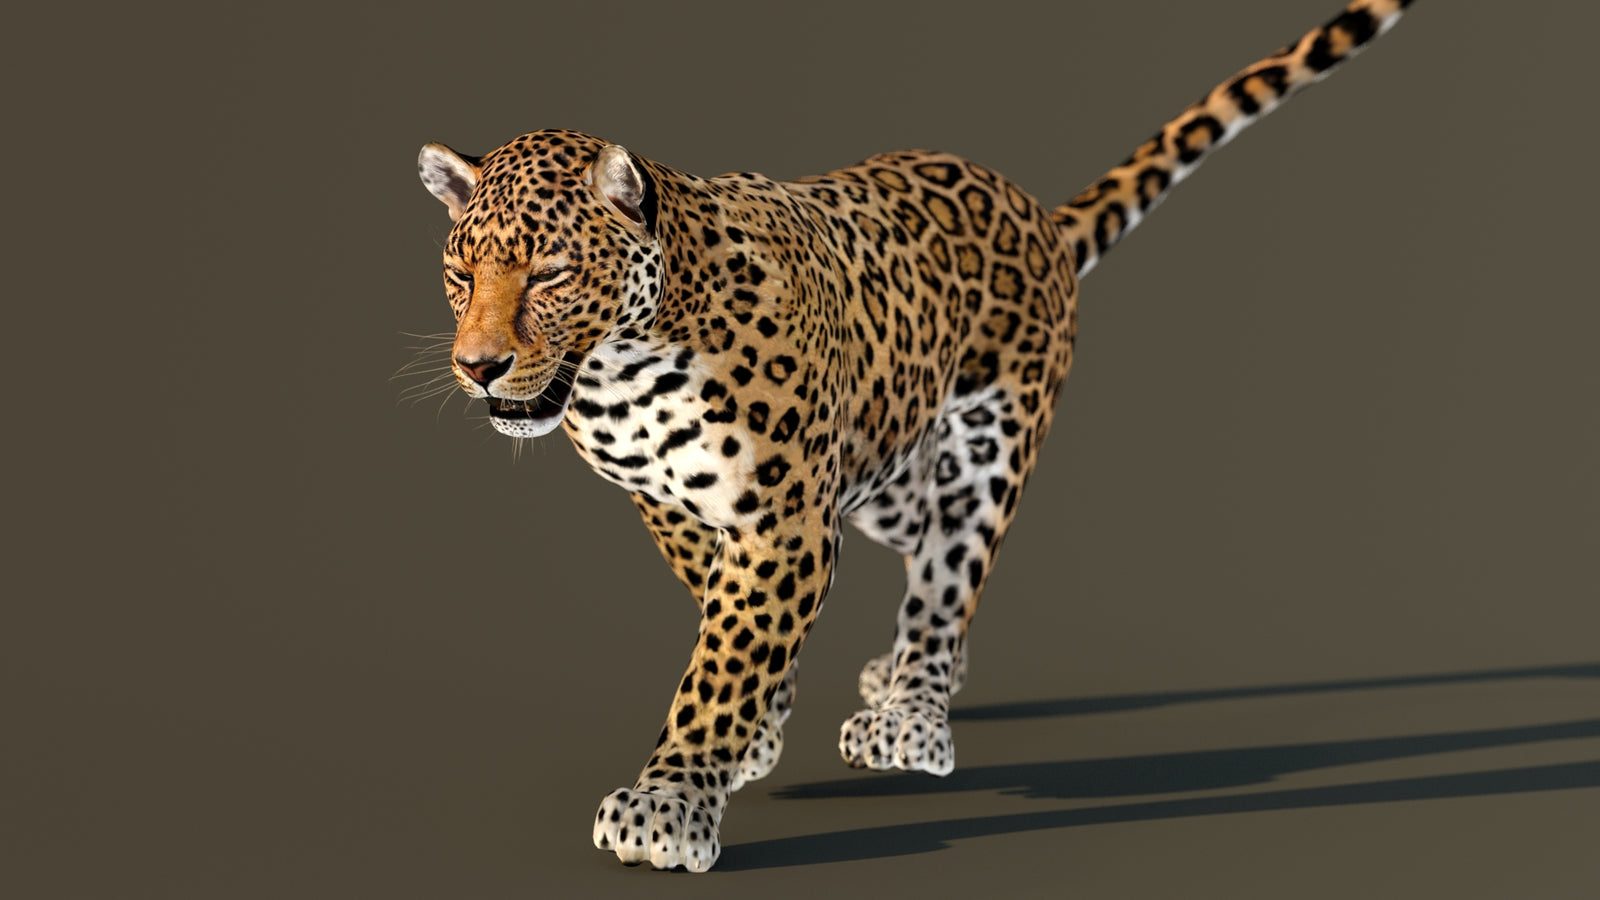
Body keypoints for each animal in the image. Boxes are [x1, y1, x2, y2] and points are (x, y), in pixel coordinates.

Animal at [412, 0, 1413, 872]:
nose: (479, 366)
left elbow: (725, 659)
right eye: (461, 271)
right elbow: (721, 606)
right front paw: (757, 728)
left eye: (551, 272)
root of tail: (1035, 213)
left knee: (947, 577)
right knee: (918, 541)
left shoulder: (786, 519)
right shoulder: (673, 502)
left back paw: (912, 711)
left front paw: (671, 801)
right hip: (886, 460)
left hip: (987, 443)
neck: (624, 371)